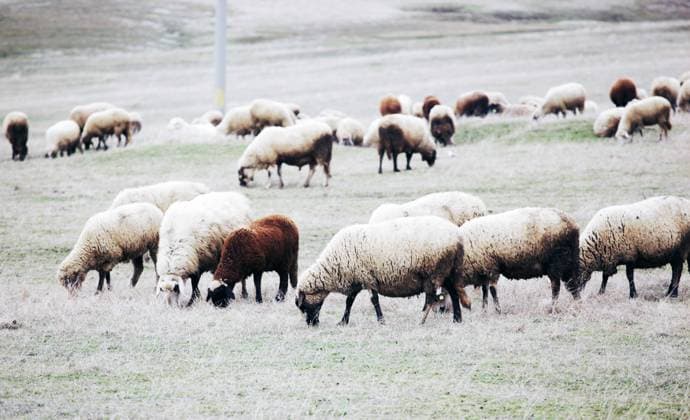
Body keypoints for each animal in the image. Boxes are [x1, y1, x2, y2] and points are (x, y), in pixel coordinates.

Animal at [295, 216, 466, 326]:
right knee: (453, 293)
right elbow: (349, 302)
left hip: (436, 271)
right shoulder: (357, 279)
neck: (335, 264)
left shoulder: (367, 277)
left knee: (439, 296)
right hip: (446, 272)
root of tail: (457, 237)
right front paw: (343, 321)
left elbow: (374, 300)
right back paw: (457, 319)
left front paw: (381, 320)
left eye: (303, 306)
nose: (311, 324)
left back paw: (427, 320)